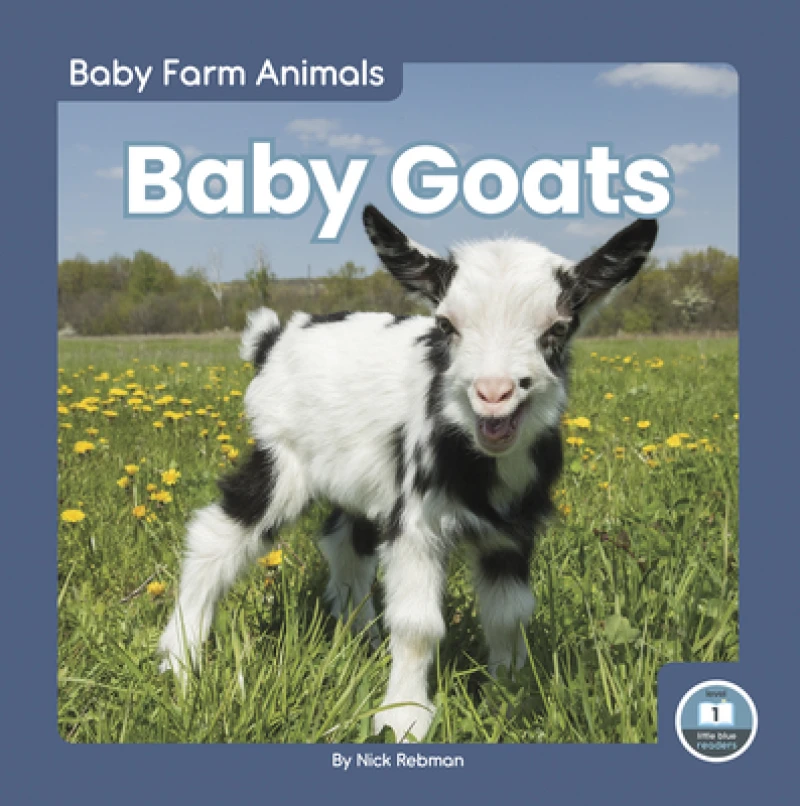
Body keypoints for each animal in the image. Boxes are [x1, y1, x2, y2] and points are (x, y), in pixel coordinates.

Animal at [158, 205, 657, 741]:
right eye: (446, 324)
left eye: (559, 328)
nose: (494, 393)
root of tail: (273, 339)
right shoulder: (418, 521)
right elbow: (419, 624)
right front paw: (403, 719)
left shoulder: (512, 528)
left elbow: (509, 613)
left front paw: (511, 692)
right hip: (282, 454)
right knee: (217, 534)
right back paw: (179, 661)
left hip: (361, 476)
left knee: (344, 544)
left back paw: (364, 639)